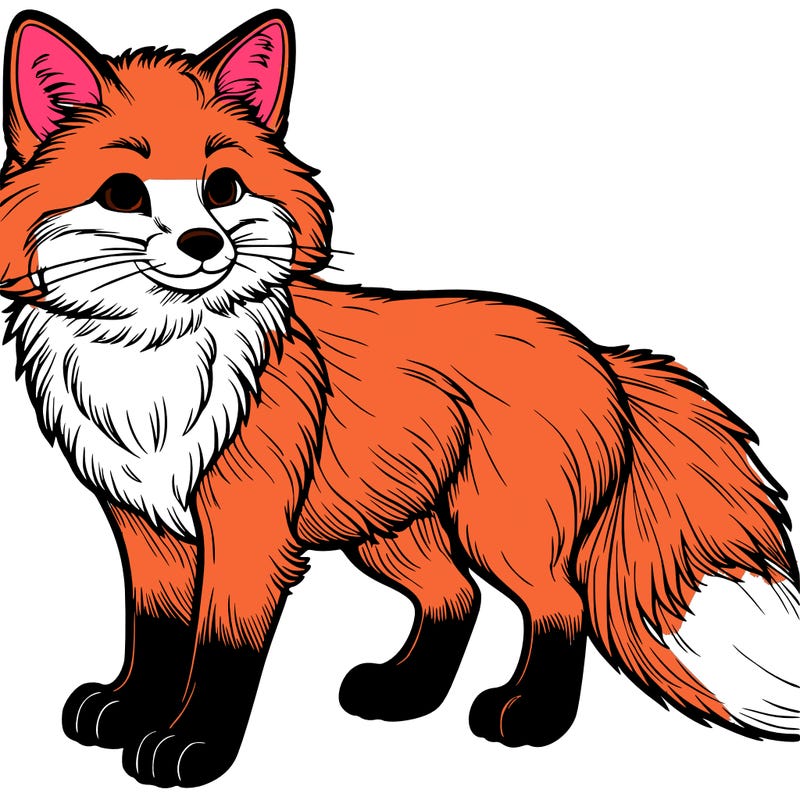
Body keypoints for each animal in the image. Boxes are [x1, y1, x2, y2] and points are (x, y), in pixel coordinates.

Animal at [1, 8, 798, 789]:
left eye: (222, 187)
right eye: (124, 193)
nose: (204, 243)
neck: (153, 369)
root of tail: (597, 352)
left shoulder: (248, 532)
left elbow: (222, 648)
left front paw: (192, 745)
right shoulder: (146, 526)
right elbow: (156, 630)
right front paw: (128, 708)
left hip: (499, 529)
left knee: (557, 605)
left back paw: (531, 719)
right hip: (391, 532)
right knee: (455, 597)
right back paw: (405, 693)